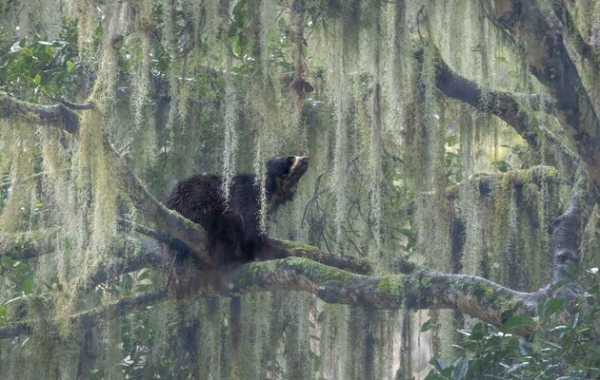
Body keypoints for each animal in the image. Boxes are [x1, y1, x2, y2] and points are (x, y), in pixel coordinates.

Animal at [166, 154, 310, 264]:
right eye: (291, 158)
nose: (305, 158)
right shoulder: (248, 202)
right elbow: (253, 236)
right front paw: (294, 252)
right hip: (199, 202)